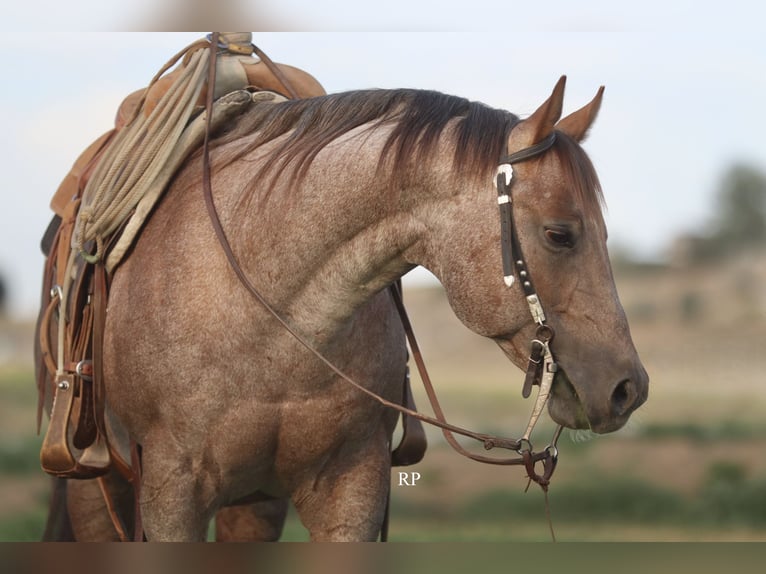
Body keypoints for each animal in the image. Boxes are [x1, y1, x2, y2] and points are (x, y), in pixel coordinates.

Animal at [39, 76, 648, 541]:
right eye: (560, 234)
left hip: (253, 503)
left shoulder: (351, 490)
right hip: (99, 492)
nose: (629, 388)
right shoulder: (170, 494)